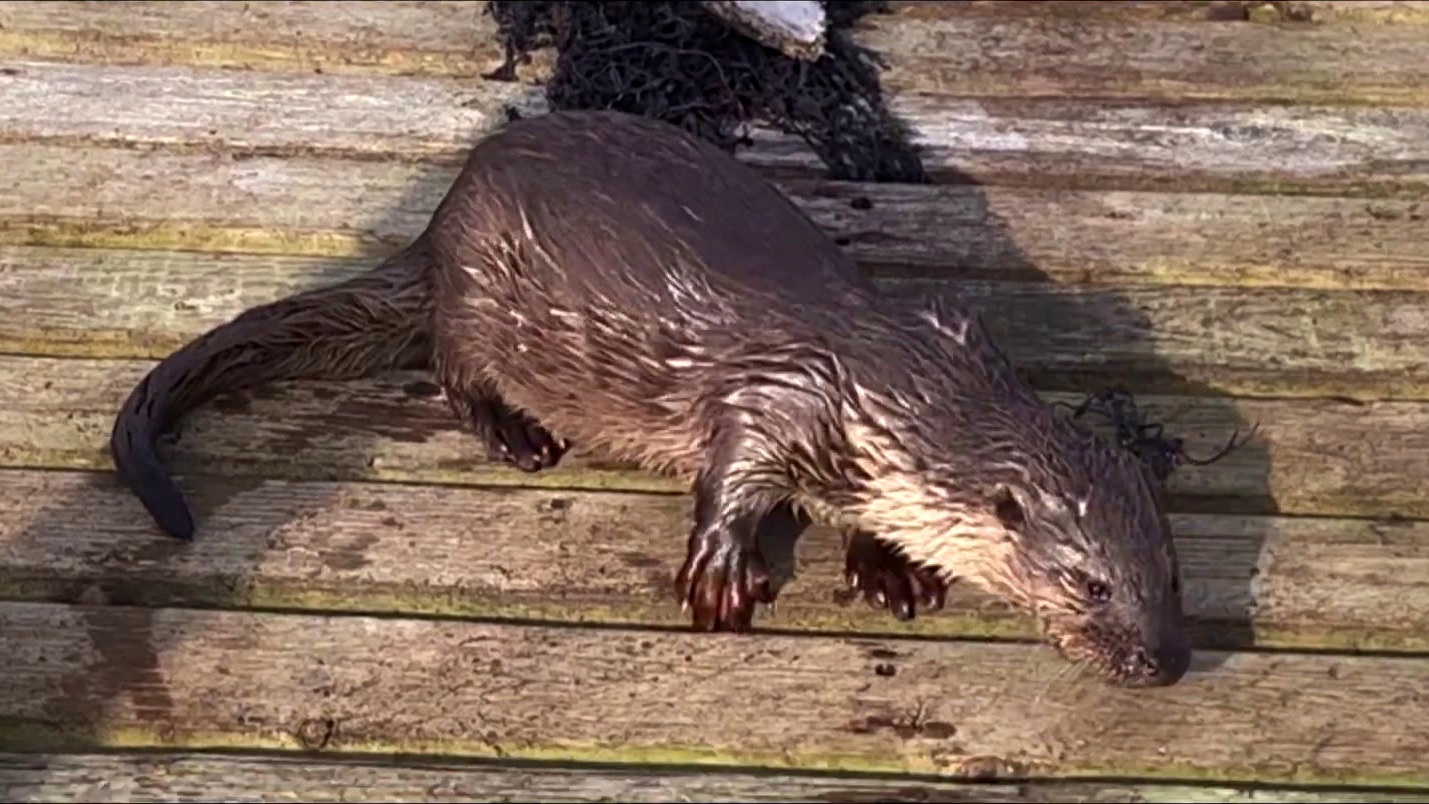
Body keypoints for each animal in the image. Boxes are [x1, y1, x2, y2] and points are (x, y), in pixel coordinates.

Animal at [111, 109, 1191, 689]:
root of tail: (440, 217)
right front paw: (719, 578)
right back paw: (516, 433)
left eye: (1169, 573)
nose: (1166, 663)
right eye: (1092, 585)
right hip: (478, 297)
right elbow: (730, 477)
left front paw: (890, 567)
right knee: (452, 366)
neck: (896, 376)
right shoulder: (780, 402)